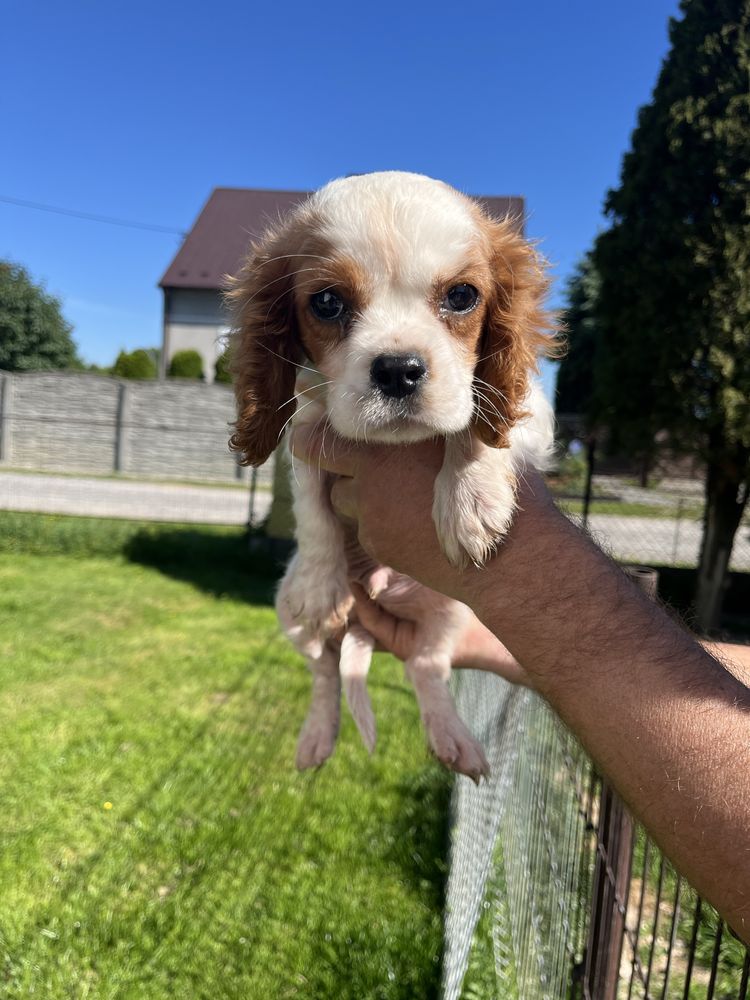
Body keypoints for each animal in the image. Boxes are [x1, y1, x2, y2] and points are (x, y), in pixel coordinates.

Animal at [229, 172, 560, 780]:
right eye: (328, 302)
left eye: (462, 296)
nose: (399, 370)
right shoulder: (307, 431)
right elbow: (312, 511)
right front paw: (321, 580)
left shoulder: (531, 414)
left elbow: (475, 422)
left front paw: (470, 503)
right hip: (289, 616)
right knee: (324, 673)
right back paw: (317, 736)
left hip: (453, 610)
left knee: (425, 667)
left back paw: (453, 737)